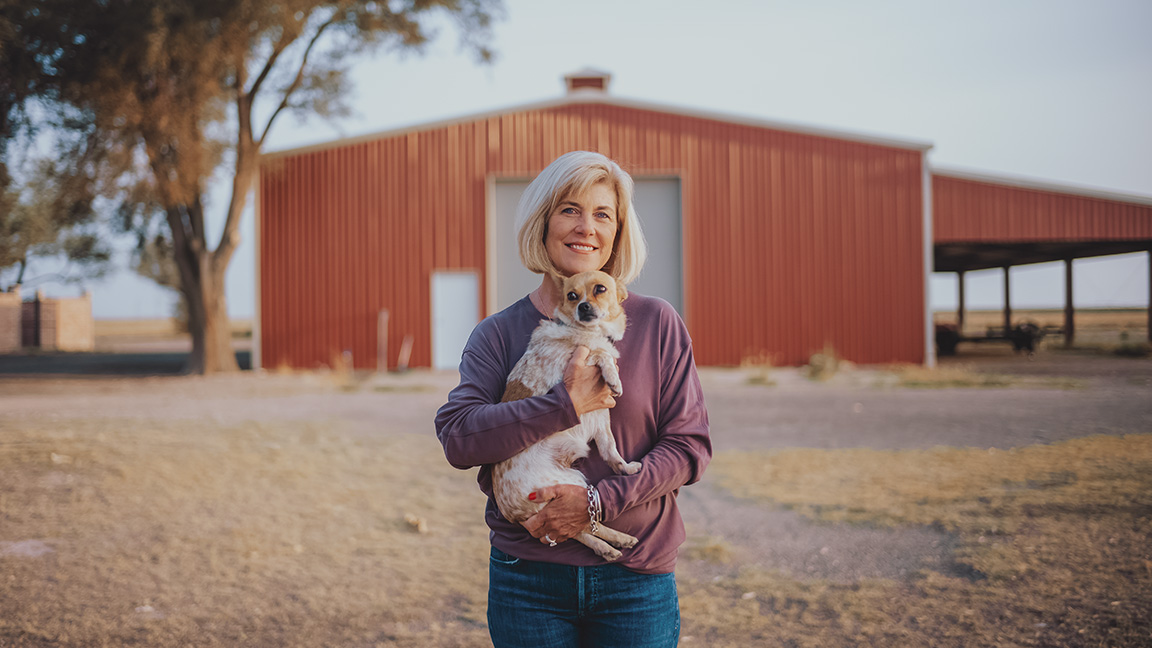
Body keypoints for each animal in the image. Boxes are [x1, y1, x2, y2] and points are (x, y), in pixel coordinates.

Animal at [490, 268, 645, 560]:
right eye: (572, 296)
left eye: (600, 289)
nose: (583, 306)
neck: (587, 332)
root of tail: (512, 513)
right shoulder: (575, 367)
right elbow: (601, 354)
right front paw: (614, 377)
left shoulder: (601, 420)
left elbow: (611, 452)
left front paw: (626, 468)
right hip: (569, 484)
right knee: (584, 526)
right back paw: (616, 540)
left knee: (582, 529)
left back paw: (611, 545)